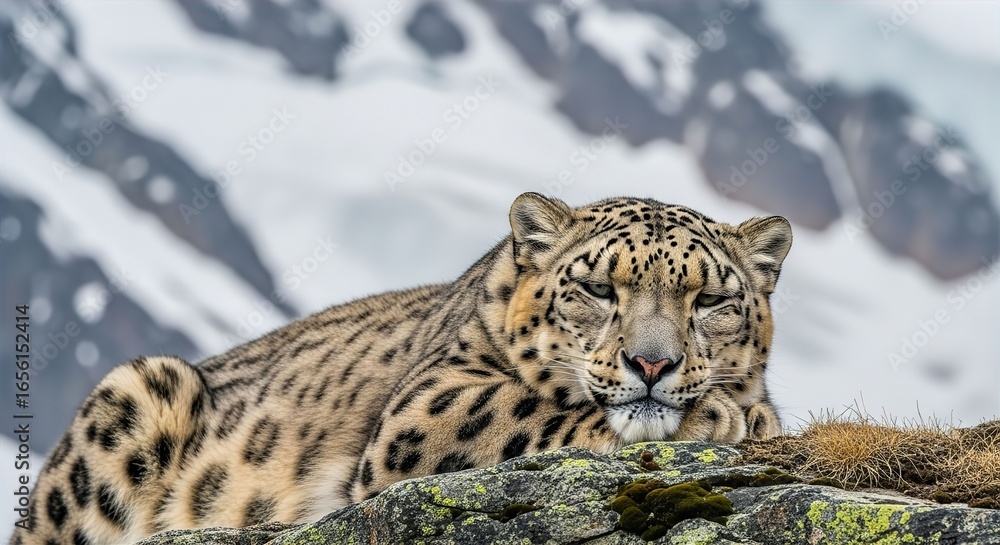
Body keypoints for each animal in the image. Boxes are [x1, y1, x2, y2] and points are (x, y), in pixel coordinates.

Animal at [10, 193, 791, 545]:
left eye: (711, 300)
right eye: (598, 288)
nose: (652, 362)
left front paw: (750, 410)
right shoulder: (425, 408)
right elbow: (529, 407)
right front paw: (719, 414)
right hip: (136, 391)